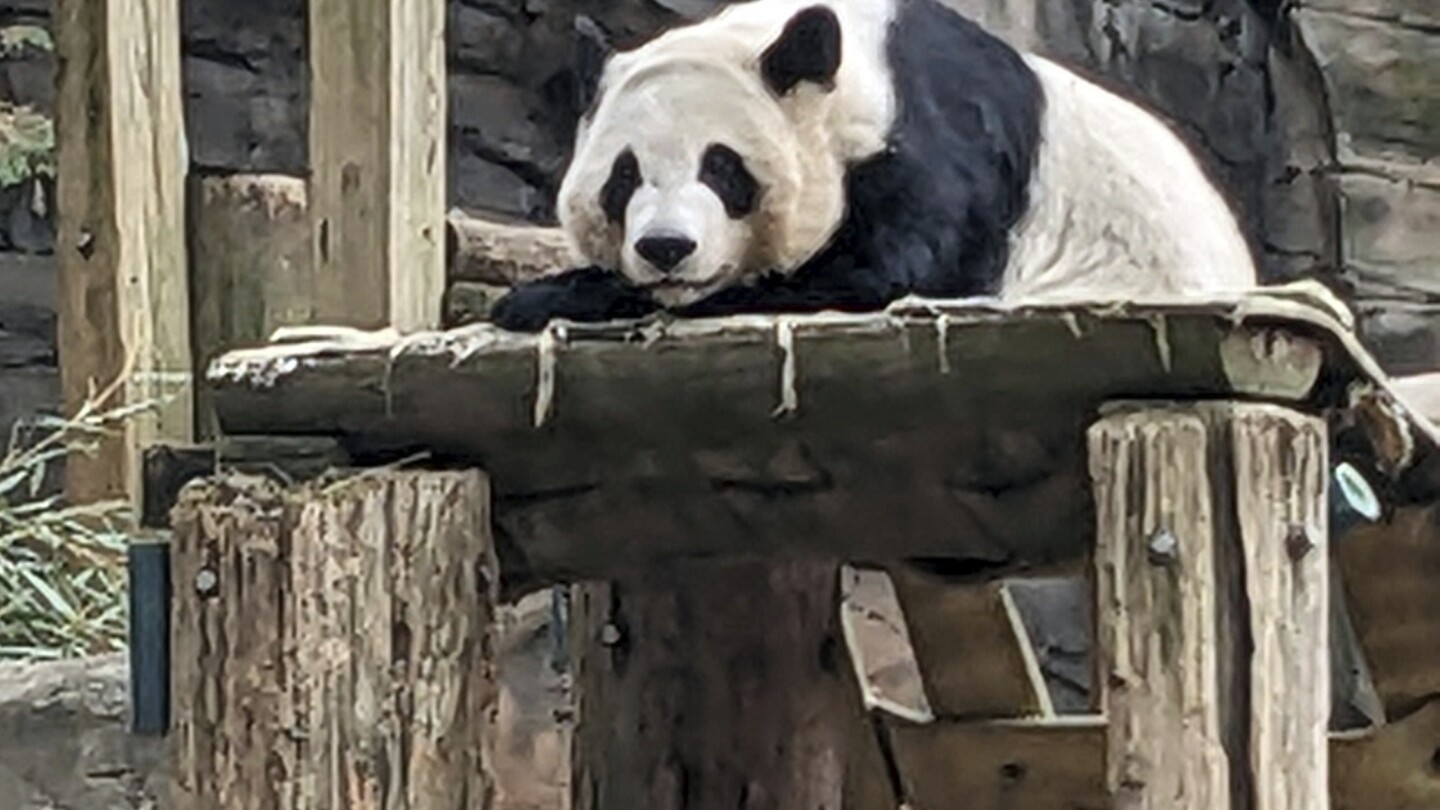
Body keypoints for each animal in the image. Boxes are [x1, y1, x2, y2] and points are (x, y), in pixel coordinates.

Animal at [489, 0, 1255, 331]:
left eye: (723, 169)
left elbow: (883, 274)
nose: (666, 248)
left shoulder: (937, 146)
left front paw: (556, 296)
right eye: (623, 177)